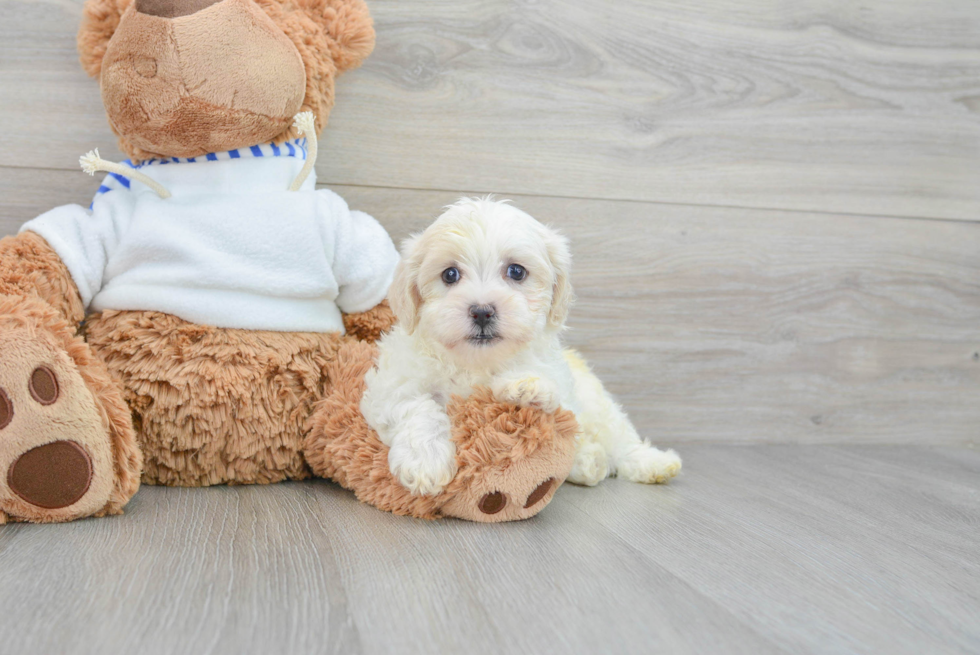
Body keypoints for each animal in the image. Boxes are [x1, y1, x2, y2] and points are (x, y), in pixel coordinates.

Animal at [360, 200, 680, 498]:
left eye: (516, 271)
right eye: (450, 275)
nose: (482, 312)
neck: (476, 362)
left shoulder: (561, 384)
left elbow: (544, 385)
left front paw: (526, 385)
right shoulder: (393, 384)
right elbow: (415, 406)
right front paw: (425, 462)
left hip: (597, 402)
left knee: (619, 437)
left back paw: (652, 463)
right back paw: (591, 463)